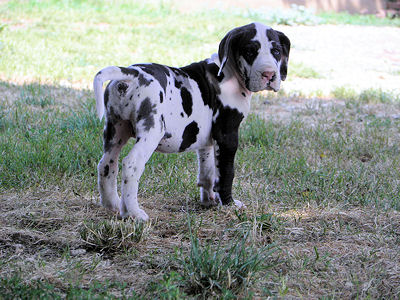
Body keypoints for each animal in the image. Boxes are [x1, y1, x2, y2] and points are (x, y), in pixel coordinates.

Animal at [94, 22, 290, 220]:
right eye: (250, 51)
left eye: (276, 51)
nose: (269, 75)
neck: (229, 73)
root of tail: (131, 74)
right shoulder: (227, 135)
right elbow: (226, 172)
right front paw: (229, 204)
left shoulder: (207, 140)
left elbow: (208, 173)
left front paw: (209, 201)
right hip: (151, 132)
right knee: (131, 165)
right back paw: (134, 213)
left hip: (116, 131)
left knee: (106, 164)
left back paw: (113, 204)